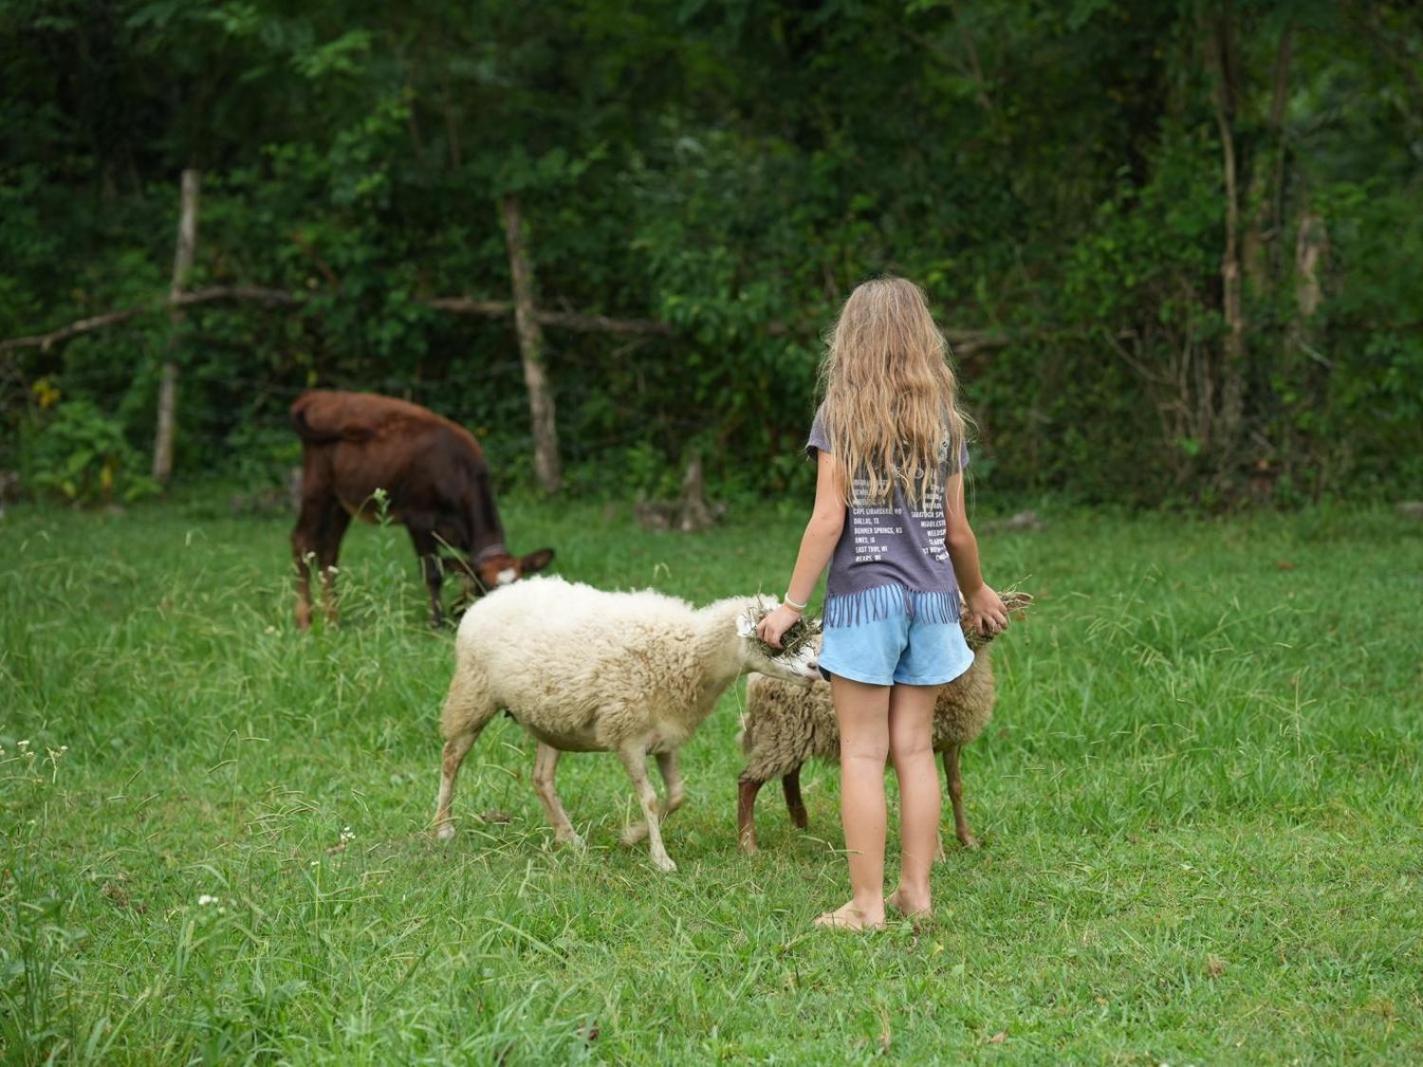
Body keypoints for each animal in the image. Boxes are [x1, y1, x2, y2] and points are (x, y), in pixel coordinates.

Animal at [290, 389, 554, 625]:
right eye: (486, 588)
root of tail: (319, 396)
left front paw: (457, 610)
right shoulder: (419, 518)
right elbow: (433, 573)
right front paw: (437, 622)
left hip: (341, 501)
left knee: (329, 553)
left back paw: (332, 620)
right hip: (317, 487)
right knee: (303, 542)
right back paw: (305, 620)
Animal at [432, 580, 819, 870]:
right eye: (776, 640)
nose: (816, 668)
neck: (690, 655)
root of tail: (490, 598)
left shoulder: (666, 738)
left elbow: (676, 795)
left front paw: (631, 836)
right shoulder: (627, 736)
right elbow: (649, 798)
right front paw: (660, 859)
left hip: (549, 719)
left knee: (541, 778)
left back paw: (569, 838)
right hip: (473, 692)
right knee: (451, 758)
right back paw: (443, 828)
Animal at [739, 588, 1030, 859]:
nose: (987, 629)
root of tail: (756, 679)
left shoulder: (951, 740)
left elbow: (955, 788)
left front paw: (968, 841)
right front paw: (936, 854)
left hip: (796, 731)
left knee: (789, 775)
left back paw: (801, 823)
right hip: (781, 732)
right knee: (748, 781)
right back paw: (749, 844)